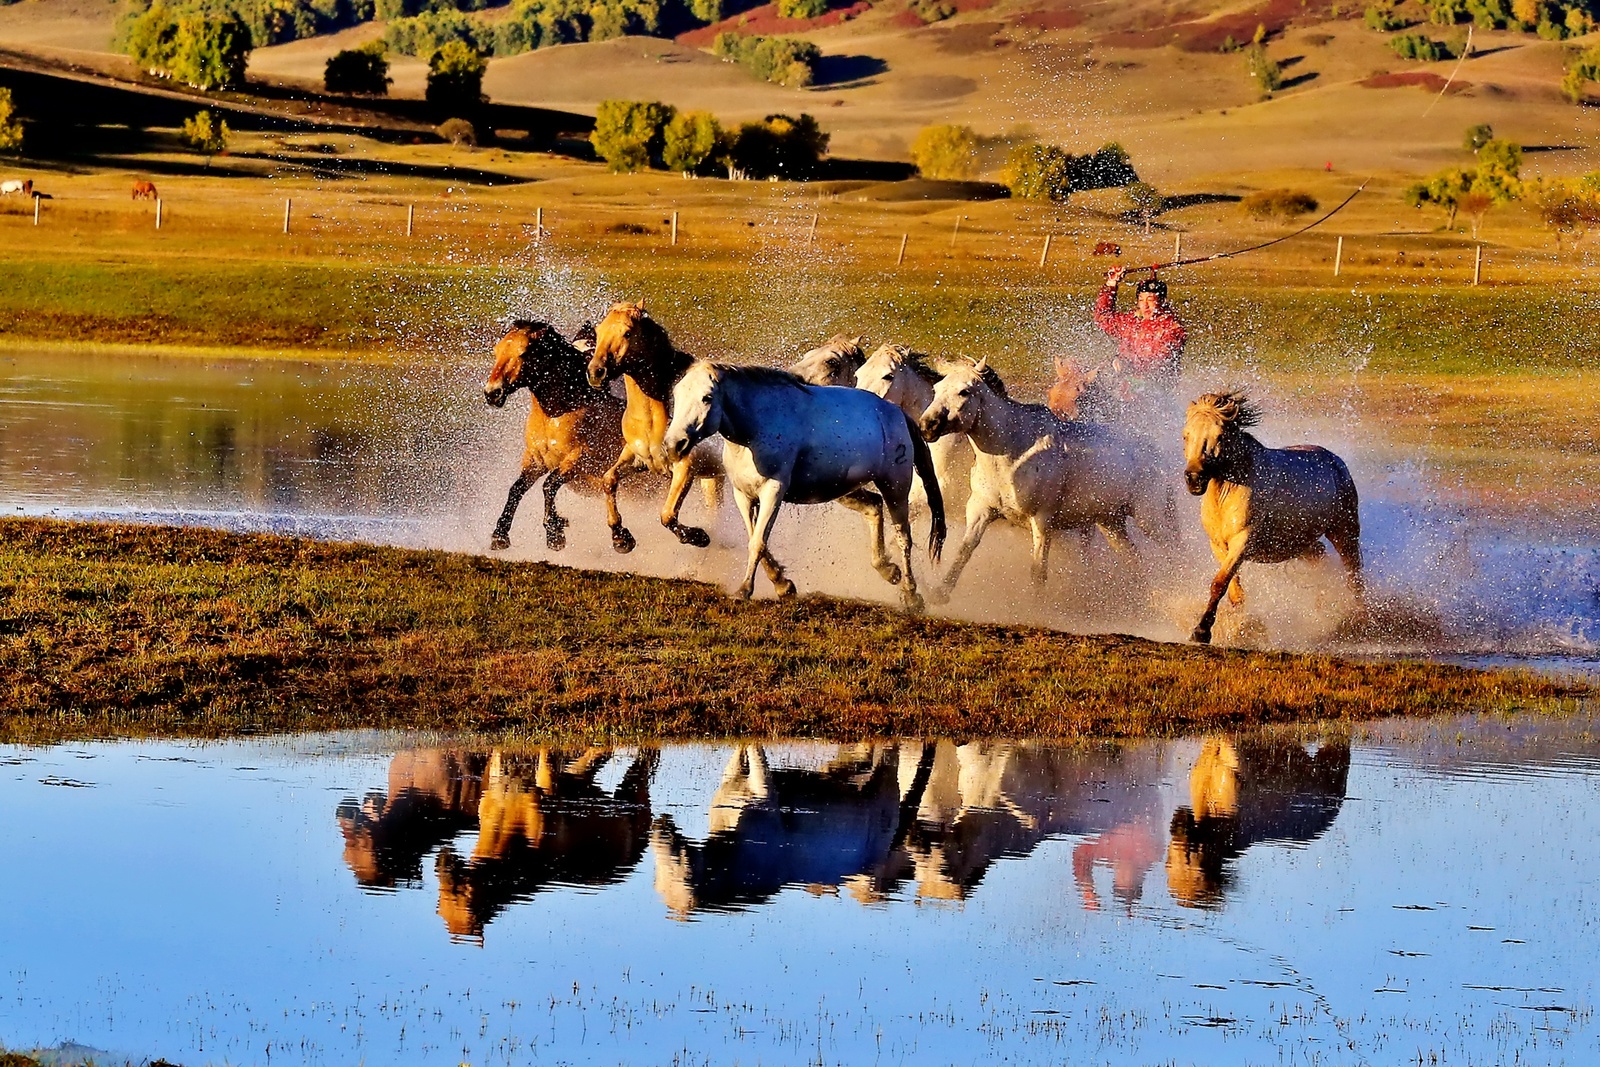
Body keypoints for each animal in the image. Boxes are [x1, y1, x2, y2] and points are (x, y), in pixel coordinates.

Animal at [482, 320, 626, 551]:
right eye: (497, 351)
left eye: (524, 353)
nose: (492, 393)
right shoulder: (536, 459)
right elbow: (516, 489)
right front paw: (500, 535)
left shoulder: (580, 459)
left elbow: (548, 485)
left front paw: (554, 533)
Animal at [585, 302, 725, 553]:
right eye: (598, 332)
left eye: (627, 333)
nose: (595, 373)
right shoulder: (637, 457)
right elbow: (609, 479)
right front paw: (620, 537)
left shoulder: (686, 467)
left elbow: (668, 514)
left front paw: (697, 536)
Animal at [663, 361, 945, 611]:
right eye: (677, 393)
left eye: (707, 397)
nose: (673, 445)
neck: (755, 429)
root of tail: (898, 414)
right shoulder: (743, 495)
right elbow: (755, 538)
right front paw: (783, 586)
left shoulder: (773, 492)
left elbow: (758, 542)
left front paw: (744, 590)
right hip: (841, 489)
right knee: (874, 508)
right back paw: (888, 570)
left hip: (895, 486)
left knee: (904, 537)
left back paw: (911, 595)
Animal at [918, 360, 1175, 598]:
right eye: (937, 388)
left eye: (964, 391)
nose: (926, 425)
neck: (1014, 452)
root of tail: (1158, 455)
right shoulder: (981, 508)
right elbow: (964, 551)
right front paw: (940, 593)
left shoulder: (1042, 520)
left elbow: (1038, 572)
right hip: (1111, 524)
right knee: (1134, 559)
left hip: (1150, 520)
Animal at [1181, 391, 1363, 645]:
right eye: (1186, 435)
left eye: (1219, 436)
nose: (1194, 479)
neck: (1228, 492)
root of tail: (1336, 461)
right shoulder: (1218, 544)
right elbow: (1234, 591)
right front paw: (1240, 626)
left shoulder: (1242, 542)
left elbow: (1219, 583)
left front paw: (1201, 631)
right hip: (1299, 543)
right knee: (1321, 558)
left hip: (1344, 532)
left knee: (1354, 573)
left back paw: (1357, 619)